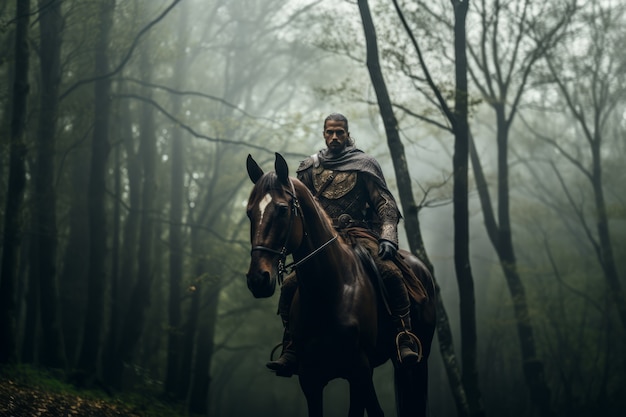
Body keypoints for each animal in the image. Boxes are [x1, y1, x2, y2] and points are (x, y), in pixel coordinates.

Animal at [244, 153, 434, 416]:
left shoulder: (359, 370)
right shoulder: (310, 379)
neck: (328, 292)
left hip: (416, 360)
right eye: (250, 212)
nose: (257, 279)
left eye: (282, 209)